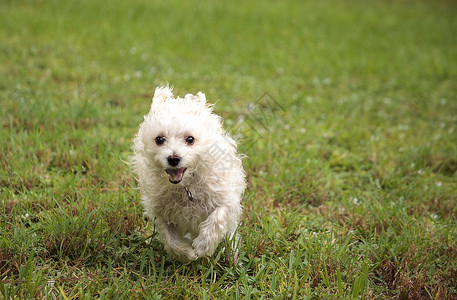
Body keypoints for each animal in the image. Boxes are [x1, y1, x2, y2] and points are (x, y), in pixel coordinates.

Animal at [131, 85, 246, 262]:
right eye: (159, 139)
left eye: (190, 139)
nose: (173, 158)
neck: (186, 186)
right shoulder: (160, 211)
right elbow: (170, 239)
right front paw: (186, 254)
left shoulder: (225, 198)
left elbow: (218, 217)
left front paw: (203, 246)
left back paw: (232, 256)